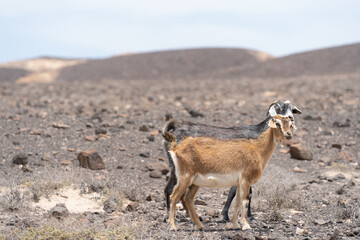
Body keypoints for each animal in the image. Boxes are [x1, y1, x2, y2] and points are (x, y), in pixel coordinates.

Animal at [166, 114, 296, 231]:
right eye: (277, 123)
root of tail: (176, 148)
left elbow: (238, 201)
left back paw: (199, 225)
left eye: (289, 123)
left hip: (194, 183)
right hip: (185, 178)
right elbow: (245, 201)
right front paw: (246, 225)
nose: (288, 134)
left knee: (187, 199)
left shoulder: (239, 183)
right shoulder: (245, 180)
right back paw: (173, 226)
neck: (257, 149)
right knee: (174, 196)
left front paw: (235, 224)